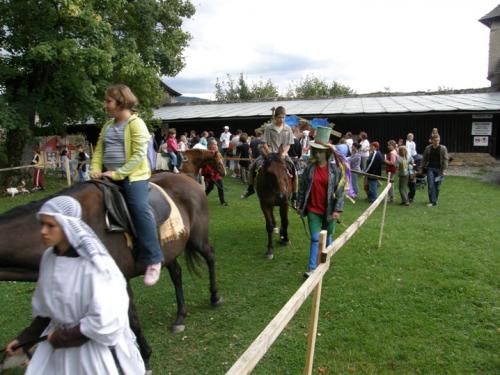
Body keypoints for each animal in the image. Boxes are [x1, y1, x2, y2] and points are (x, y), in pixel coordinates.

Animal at [0, 174, 221, 370]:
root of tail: (189, 179)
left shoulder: (118, 280)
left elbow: (132, 320)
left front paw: (144, 358)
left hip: (197, 238)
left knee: (210, 256)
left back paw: (215, 297)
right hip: (169, 250)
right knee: (176, 274)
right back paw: (180, 317)